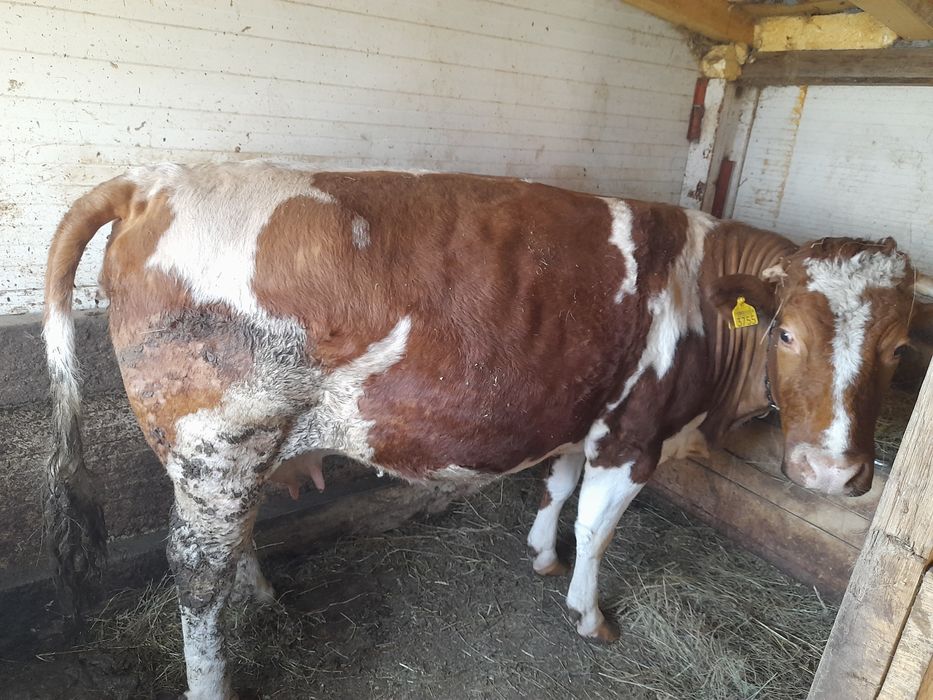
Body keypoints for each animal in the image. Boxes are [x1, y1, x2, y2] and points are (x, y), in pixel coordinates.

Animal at [42, 161, 932, 699]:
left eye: (898, 349)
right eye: (785, 332)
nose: (831, 474)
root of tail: (151, 179)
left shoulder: (581, 414)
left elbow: (557, 488)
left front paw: (540, 555)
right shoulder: (632, 437)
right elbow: (596, 528)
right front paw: (587, 613)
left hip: (231, 457)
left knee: (233, 543)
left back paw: (261, 598)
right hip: (218, 442)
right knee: (195, 572)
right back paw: (213, 678)